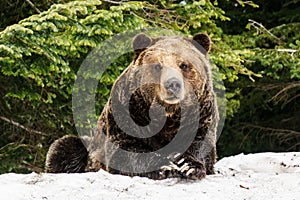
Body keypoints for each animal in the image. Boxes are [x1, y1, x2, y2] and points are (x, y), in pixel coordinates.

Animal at [45, 32, 219, 180]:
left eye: (184, 65)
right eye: (158, 66)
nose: (173, 84)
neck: (168, 115)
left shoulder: (201, 115)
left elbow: (200, 145)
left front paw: (187, 166)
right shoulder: (128, 113)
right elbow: (127, 150)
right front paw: (165, 166)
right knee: (65, 147)